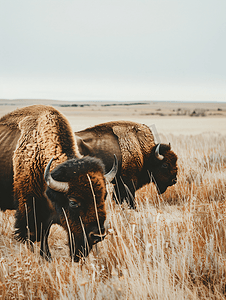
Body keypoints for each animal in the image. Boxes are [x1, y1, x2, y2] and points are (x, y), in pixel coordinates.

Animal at [0, 106, 117, 262]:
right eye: (73, 202)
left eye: (104, 197)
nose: (98, 235)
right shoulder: (29, 212)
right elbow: (31, 237)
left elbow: (45, 235)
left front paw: (46, 257)